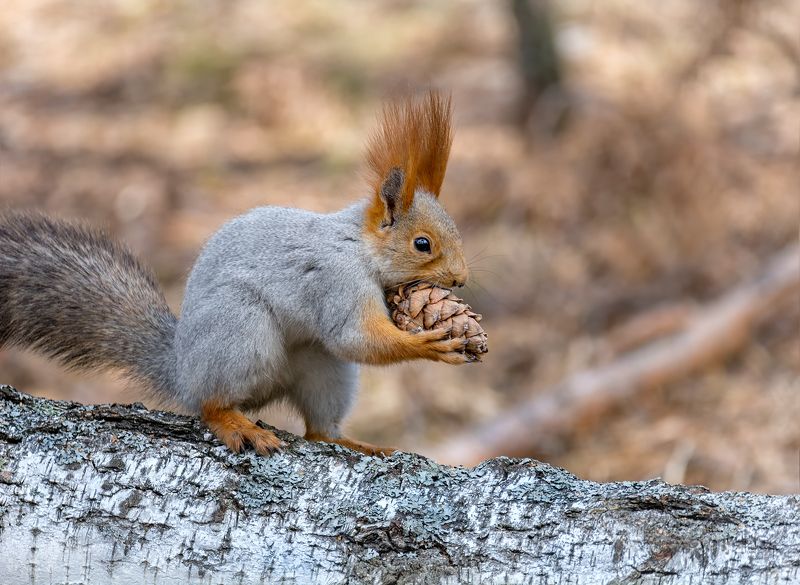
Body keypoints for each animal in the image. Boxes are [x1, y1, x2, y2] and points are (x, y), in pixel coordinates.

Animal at [0, 91, 470, 457]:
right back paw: (236, 424)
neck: (358, 247)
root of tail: (182, 370)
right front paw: (429, 343)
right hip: (241, 331)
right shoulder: (338, 280)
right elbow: (354, 337)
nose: (461, 280)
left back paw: (354, 443)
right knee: (211, 405)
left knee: (318, 429)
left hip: (322, 367)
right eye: (422, 244)